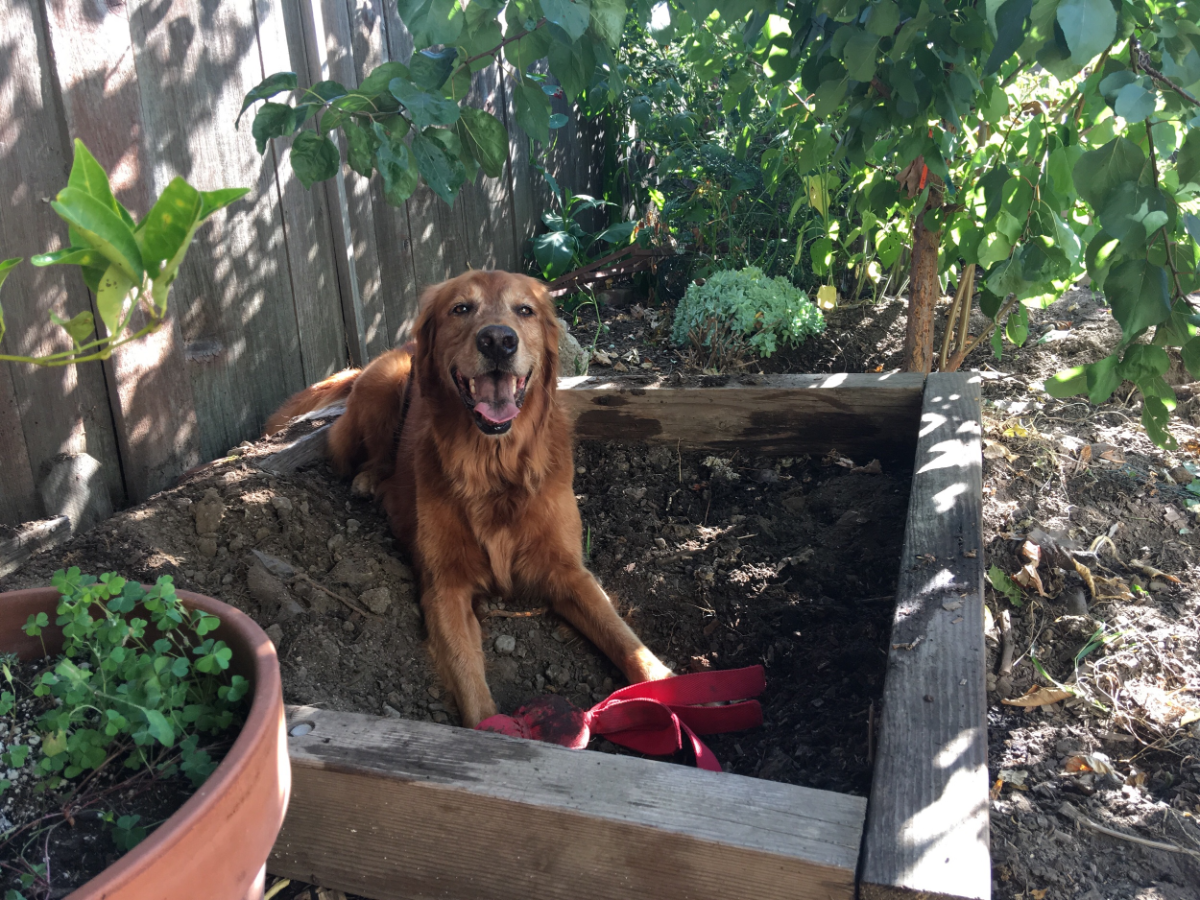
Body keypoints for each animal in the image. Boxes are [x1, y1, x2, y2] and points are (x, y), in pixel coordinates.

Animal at [266, 271, 672, 729]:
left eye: (525, 310)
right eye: (461, 308)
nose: (498, 340)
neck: (493, 469)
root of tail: (398, 351)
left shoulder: (569, 572)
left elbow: (622, 636)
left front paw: (668, 683)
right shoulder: (445, 586)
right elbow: (471, 684)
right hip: (384, 388)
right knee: (370, 458)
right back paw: (370, 481)